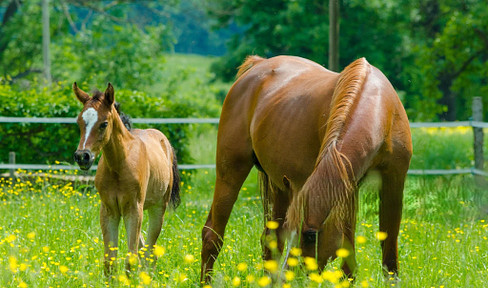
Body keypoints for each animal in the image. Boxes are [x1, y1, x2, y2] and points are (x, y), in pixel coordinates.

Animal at [71, 82, 180, 274]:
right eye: (79, 122)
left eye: (104, 124)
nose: (82, 156)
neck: (119, 166)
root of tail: (164, 141)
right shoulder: (109, 211)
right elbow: (110, 262)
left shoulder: (133, 209)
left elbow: (131, 259)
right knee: (144, 248)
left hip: (157, 208)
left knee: (150, 252)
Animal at [201, 55, 412, 282]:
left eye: (310, 235)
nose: (289, 277)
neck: (382, 112)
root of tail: (258, 64)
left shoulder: (390, 182)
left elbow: (388, 242)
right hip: (231, 172)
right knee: (212, 235)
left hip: (281, 187)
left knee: (270, 240)